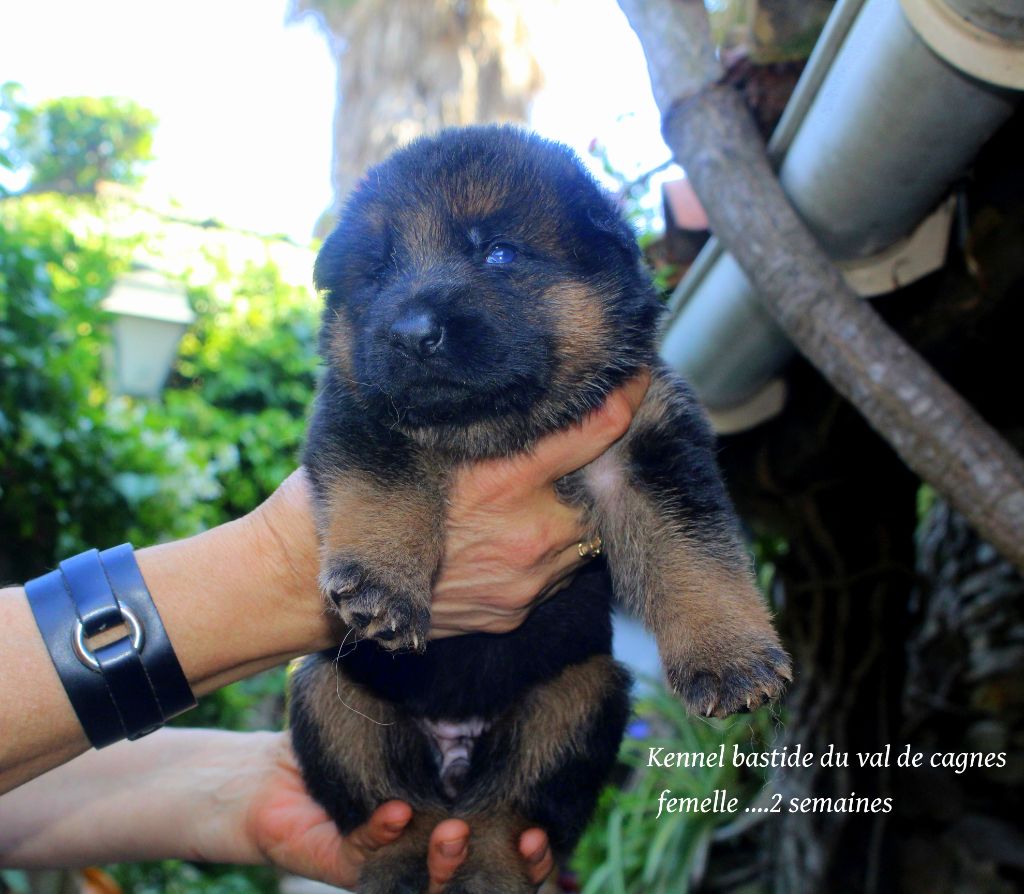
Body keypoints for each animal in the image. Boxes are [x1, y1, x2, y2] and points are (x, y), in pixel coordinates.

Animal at [290, 127, 790, 892]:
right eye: (376, 272)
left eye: (497, 252)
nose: (410, 331)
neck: (497, 427)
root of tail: (457, 745)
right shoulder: (361, 413)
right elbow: (384, 489)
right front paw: (382, 583)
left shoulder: (650, 449)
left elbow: (693, 553)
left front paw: (730, 657)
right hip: (328, 691)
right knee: (401, 817)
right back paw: (399, 869)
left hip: (581, 694)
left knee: (503, 813)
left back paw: (489, 871)